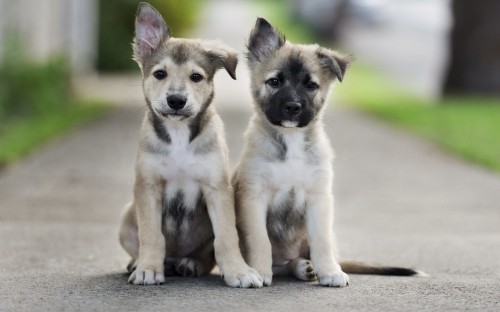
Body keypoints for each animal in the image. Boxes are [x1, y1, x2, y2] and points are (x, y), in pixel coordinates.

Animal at [119, 2, 264, 288]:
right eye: (160, 74)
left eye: (196, 77)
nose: (176, 101)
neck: (179, 136)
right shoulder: (148, 187)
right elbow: (151, 234)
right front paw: (148, 268)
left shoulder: (217, 188)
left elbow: (226, 237)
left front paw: (238, 271)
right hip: (127, 217)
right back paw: (140, 262)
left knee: (206, 256)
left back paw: (190, 263)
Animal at [232, 18, 420, 288]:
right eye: (274, 82)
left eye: (311, 85)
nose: (292, 107)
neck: (291, 141)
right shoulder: (253, 197)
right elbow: (260, 240)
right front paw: (258, 271)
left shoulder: (318, 198)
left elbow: (322, 241)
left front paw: (330, 272)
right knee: (281, 265)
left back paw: (306, 267)